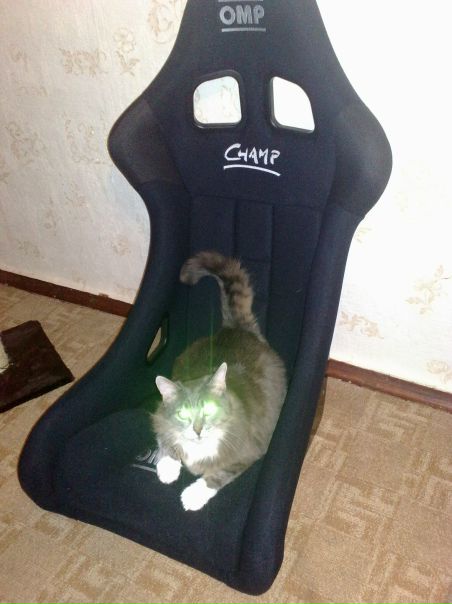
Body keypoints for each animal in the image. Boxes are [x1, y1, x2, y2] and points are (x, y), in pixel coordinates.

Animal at [152, 251, 287, 511]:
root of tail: (235, 329)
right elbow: (165, 435)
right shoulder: (160, 417)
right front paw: (167, 467)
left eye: (209, 408)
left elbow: (219, 474)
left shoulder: (249, 449)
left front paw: (193, 495)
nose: (197, 431)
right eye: (183, 413)